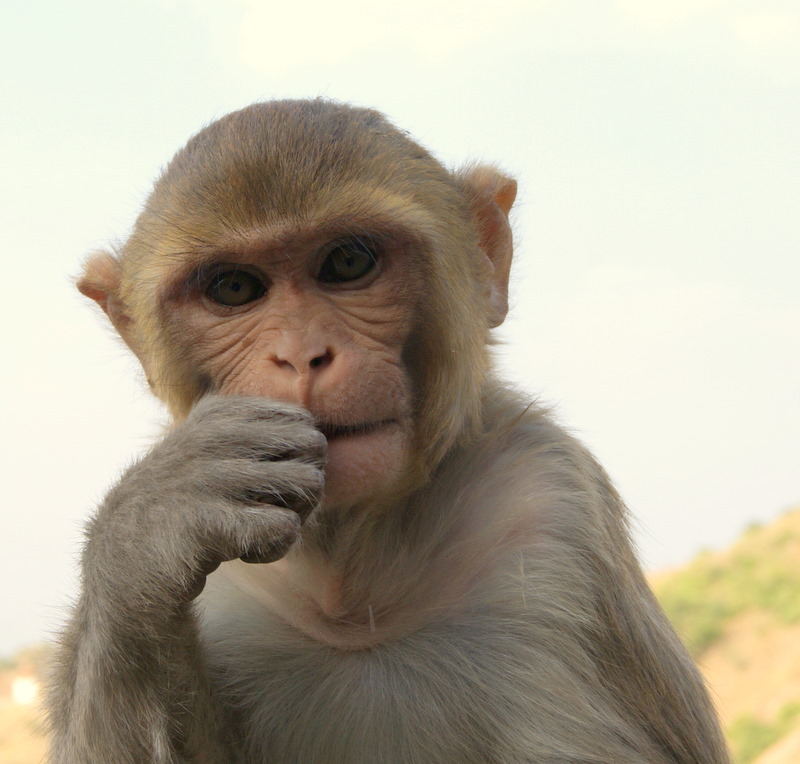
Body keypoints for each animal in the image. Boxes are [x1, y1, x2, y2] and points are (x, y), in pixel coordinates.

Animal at [47, 99, 730, 763]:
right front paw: (147, 527)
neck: (355, 599)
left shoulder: (551, 509)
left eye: (348, 262)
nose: (302, 355)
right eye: (234, 287)